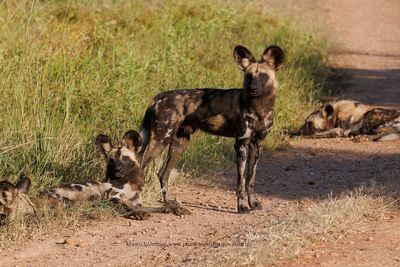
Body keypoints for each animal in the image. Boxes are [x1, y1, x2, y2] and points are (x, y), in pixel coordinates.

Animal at [139, 45, 286, 215]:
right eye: (249, 76)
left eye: (263, 76)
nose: (253, 89)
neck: (260, 108)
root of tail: (159, 96)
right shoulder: (241, 144)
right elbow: (241, 182)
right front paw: (242, 206)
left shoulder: (256, 145)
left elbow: (250, 179)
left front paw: (253, 203)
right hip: (161, 140)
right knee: (140, 168)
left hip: (179, 143)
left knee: (163, 174)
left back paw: (170, 205)